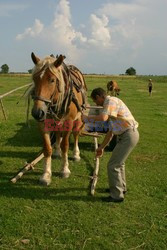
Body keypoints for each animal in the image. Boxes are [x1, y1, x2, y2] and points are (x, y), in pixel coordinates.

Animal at [30, 52, 87, 186]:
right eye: (34, 78)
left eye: (52, 80)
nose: (37, 112)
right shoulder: (44, 122)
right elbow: (47, 148)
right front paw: (46, 175)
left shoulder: (69, 121)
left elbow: (65, 145)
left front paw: (64, 169)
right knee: (57, 133)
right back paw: (57, 151)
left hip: (77, 118)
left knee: (75, 134)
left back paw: (76, 154)